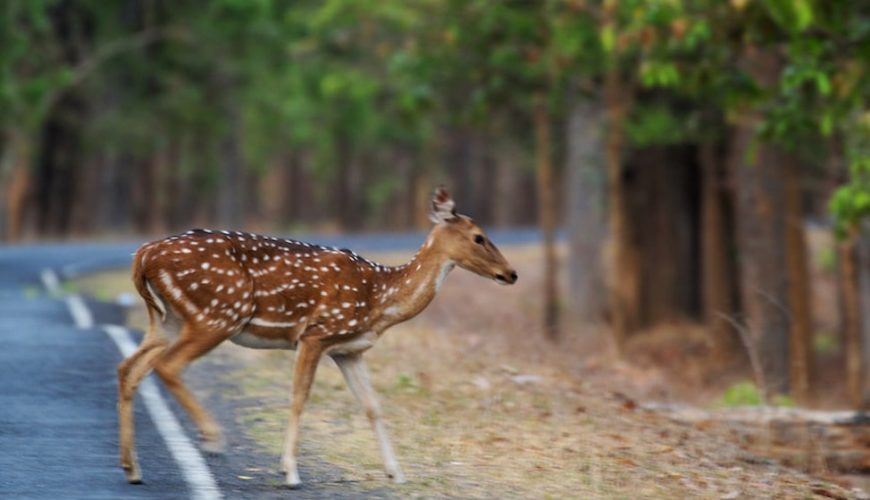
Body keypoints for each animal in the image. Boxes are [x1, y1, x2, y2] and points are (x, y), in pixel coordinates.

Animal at [116, 188, 516, 488]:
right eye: (479, 237)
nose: (511, 273)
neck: (379, 300)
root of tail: (143, 255)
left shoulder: (349, 350)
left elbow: (372, 406)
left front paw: (396, 472)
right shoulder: (316, 333)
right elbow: (298, 398)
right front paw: (290, 471)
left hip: (167, 319)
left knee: (129, 369)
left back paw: (132, 468)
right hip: (217, 313)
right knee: (167, 366)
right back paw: (213, 440)